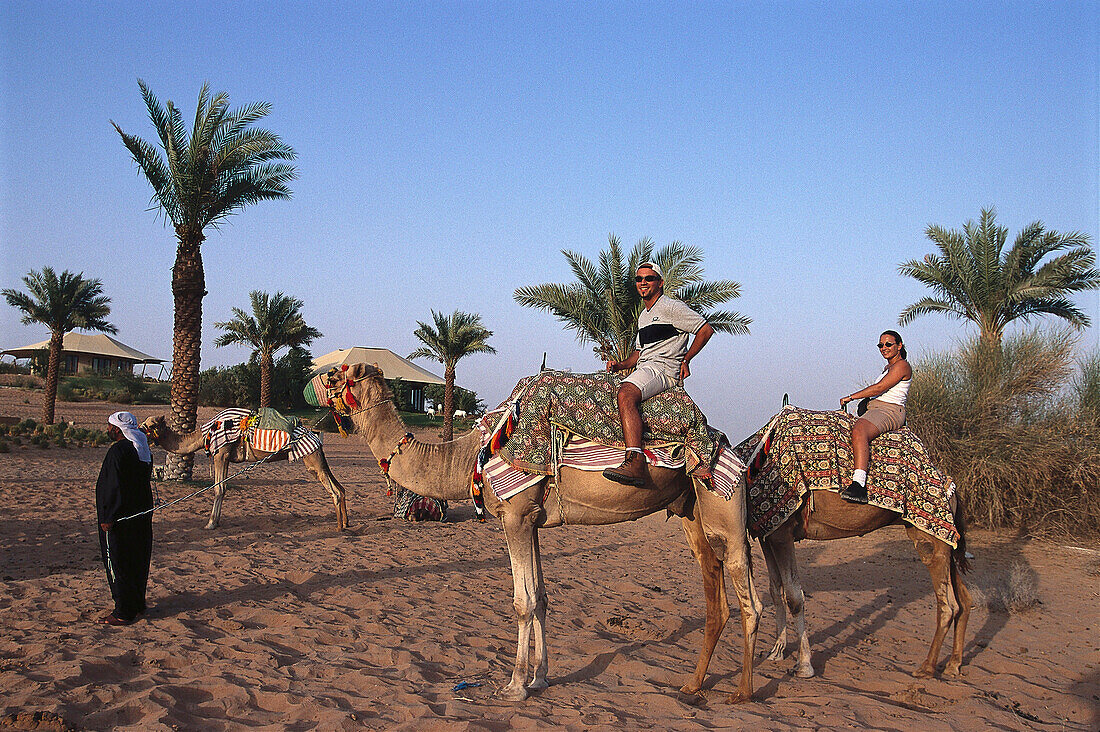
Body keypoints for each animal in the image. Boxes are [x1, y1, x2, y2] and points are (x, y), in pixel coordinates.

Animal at [140, 413, 347, 528]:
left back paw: (339, 528)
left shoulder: (220, 454)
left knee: (335, 492)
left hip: (311, 459)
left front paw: (210, 523)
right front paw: (215, 521)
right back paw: (346, 523)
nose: (139, 430)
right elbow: (222, 489)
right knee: (341, 488)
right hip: (318, 459)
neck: (205, 434)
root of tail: (316, 436)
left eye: (150, 425)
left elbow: (218, 489)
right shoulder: (224, 457)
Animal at [321, 363, 761, 704]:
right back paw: (693, 685)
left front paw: (515, 685)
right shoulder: (529, 519)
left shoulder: (514, 515)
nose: (317, 379)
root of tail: (728, 445)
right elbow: (542, 598)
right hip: (692, 511)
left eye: (340, 374)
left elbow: (523, 602)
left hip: (723, 503)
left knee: (750, 599)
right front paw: (540, 678)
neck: (471, 457)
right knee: (716, 597)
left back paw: (742, 692)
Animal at [756, 484, 972, 678]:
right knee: (964, 600)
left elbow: (793, 597)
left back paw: (926, 668)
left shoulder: (783, 532)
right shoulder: (768, 534)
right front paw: (776, 651)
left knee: (948, 606)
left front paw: (803, 665)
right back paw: (953, 665)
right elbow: (775, 590)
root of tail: (952, 489)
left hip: (931, 539)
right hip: (943, 544)